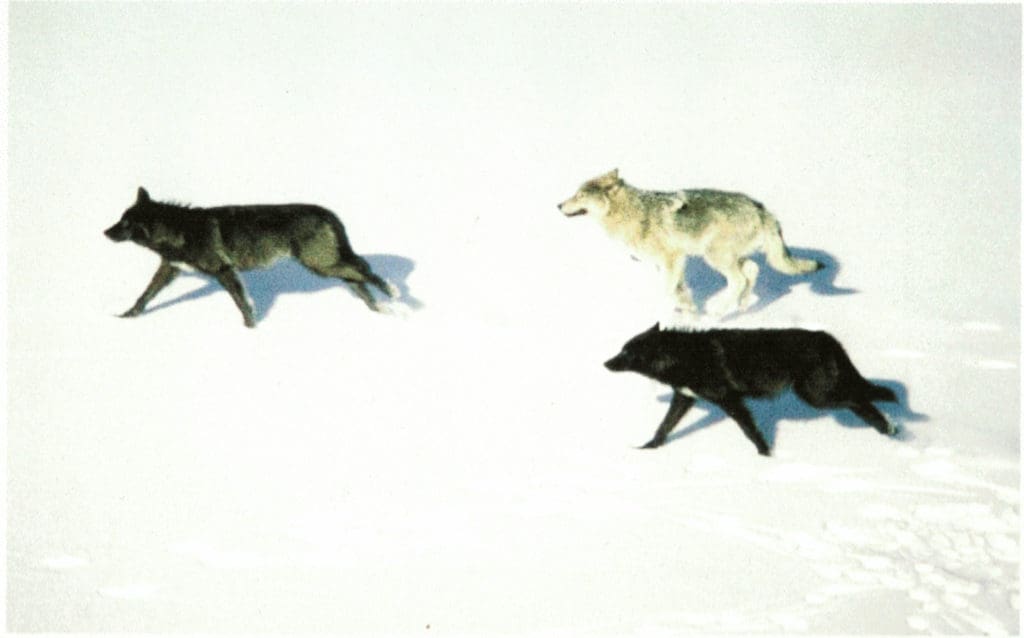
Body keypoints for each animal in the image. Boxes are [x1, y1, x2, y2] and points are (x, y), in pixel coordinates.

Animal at [105, 187, 396, 327]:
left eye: (126, 223)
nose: (104, 232)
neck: (180, 230)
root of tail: (328, 213)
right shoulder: (169, 270)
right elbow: (145, 295)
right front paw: (127, 316)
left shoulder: (224, 271)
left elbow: (241, 303)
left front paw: (250, 329)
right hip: (327, 266)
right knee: (359, 278)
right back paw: (380, 309)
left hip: (322, 265)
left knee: (365, 270)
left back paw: (392, 293)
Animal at [558, 169, 822, 318]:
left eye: (580, 195)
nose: (558, 205)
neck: (633, 213)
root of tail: (760, 208)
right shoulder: (667, 264)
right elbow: (678, 290)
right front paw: (687, 308)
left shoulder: (672, 259)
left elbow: (667, 290)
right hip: (727, 256)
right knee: (752, 270)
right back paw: (743, 305)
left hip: (714, 256)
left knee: (739, 279)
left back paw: (718, 311)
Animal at [604, 324, 899, 456]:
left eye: (626, 352)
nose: (605, 363)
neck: (683, 356)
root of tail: (828, 338)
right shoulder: (684, 399)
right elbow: (663, 427)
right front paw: (647, 450)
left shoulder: (730, 401)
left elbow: (750, 431)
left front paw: (765, 456)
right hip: (821, 396)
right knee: (863, 402)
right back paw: (888, 431)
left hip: (817, 397)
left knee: (862, 399)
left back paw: (890, 426)